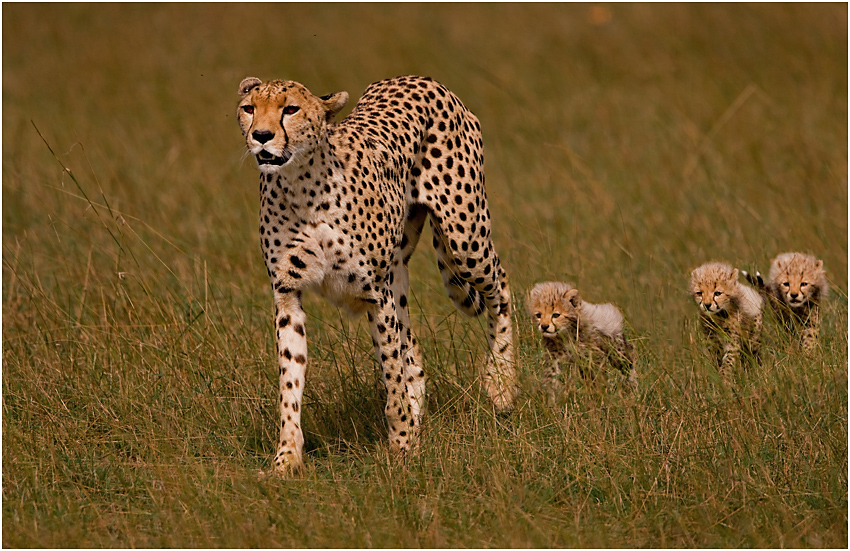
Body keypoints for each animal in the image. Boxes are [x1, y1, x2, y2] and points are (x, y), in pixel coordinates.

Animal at [238, 75, 516, 476]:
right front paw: (286, 459)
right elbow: (290, 384)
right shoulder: (287, 294)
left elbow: (392, 376)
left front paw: (401, 447)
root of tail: (420, 78)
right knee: (412, 352)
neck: (301, 185)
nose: (261, 135)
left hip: (465, 239)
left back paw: (502, 385)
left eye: (290, 109)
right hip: (401, 272)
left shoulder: (375, 294)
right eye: (249, 108)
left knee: (502, 287)